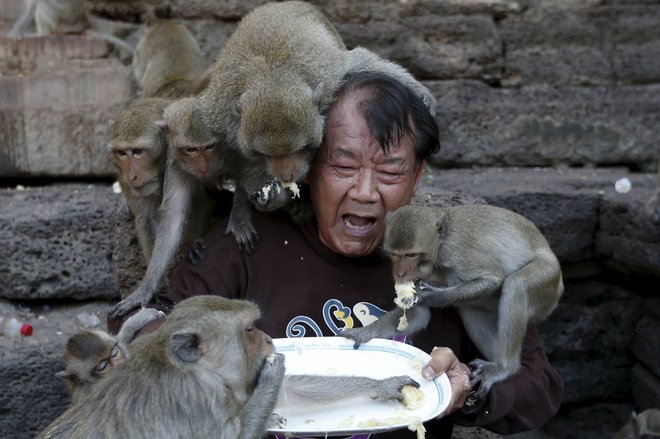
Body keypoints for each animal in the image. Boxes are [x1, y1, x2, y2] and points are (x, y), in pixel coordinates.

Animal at [37, 296, 418, 439]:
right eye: (249, 329)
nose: (267, 339)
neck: (199, 372)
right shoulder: (201, 403)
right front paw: (273, 375)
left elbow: (292, 390)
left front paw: (384, 384)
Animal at [108, 97, 215, 320]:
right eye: (122, 153)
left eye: (137, 152)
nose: (132, 175)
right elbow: (146, 218)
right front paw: (154, 285)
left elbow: (202, 198)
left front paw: (189, 244)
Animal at [342, 205, 564, 410]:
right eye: (394, 255)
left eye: (411, 255)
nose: (400, 273)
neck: (440, 245)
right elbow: (418, 314)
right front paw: (366, 332)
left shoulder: (457, 251)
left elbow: (491, 279)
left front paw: (433, 296)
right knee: (471, 310)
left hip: (548, 280)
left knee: (516, 285)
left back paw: (504, 368)